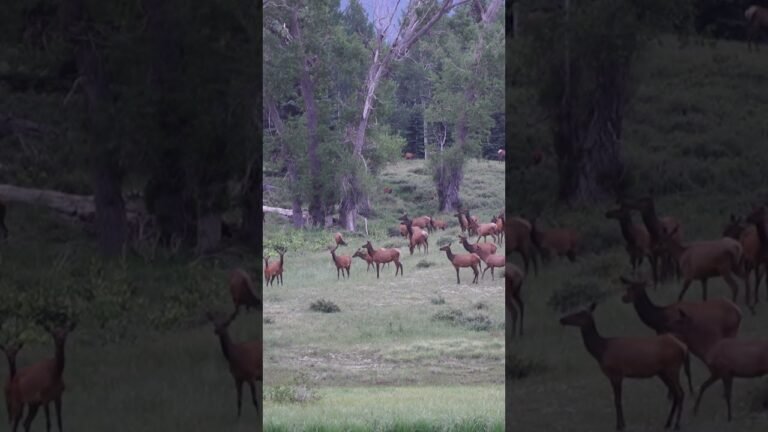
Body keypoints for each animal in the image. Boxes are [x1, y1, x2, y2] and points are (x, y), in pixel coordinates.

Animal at [560, 302, 687, 431]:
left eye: (580, 313)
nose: (562, 319)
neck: (601, 350)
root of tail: (682, 347)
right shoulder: (615, 375)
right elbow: (617, 400)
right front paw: (622, 424)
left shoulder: (616, 373)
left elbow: (617, 400)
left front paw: (619, 425)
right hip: (663, 372)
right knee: (676, 393)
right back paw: (668, 423)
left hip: (672, 368)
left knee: (680, 393)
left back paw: (676, 425)